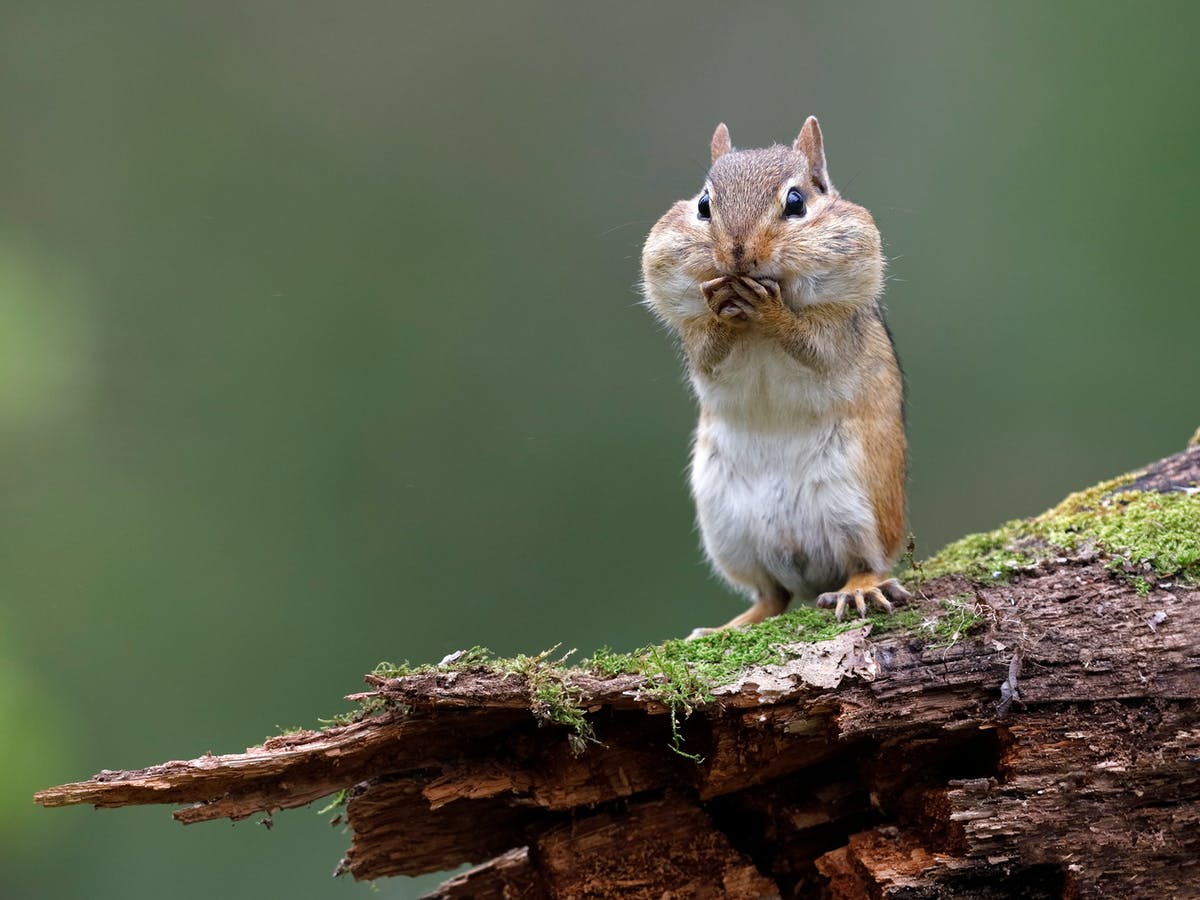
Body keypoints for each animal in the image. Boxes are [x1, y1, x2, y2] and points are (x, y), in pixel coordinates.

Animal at [641, 117, 911, 636]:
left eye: (796, 202)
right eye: (703, 205)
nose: (737, 252)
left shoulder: (836, 329)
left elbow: (812, 344)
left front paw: (770, 310)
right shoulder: (695, 339)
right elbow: (706, 350)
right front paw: (722, 305)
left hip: (860, 505)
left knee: (866, 562)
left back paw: (859, 588)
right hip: (728, 529)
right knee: (771, 596)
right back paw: (729, 625)